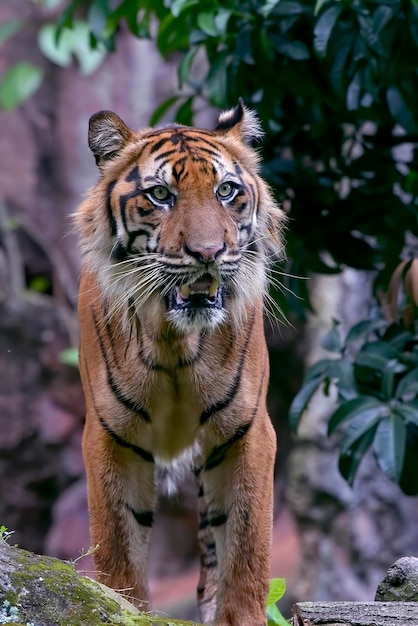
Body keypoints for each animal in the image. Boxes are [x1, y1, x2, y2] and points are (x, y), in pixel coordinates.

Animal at [75, 100, 286, 624]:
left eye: (226, 190)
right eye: (160, 195)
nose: (208, 254)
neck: (175, 341)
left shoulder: (247, 430)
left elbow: (247, 547)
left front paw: (239, 614)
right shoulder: (110, 436)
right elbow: (118, 549)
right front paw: (122, 609)